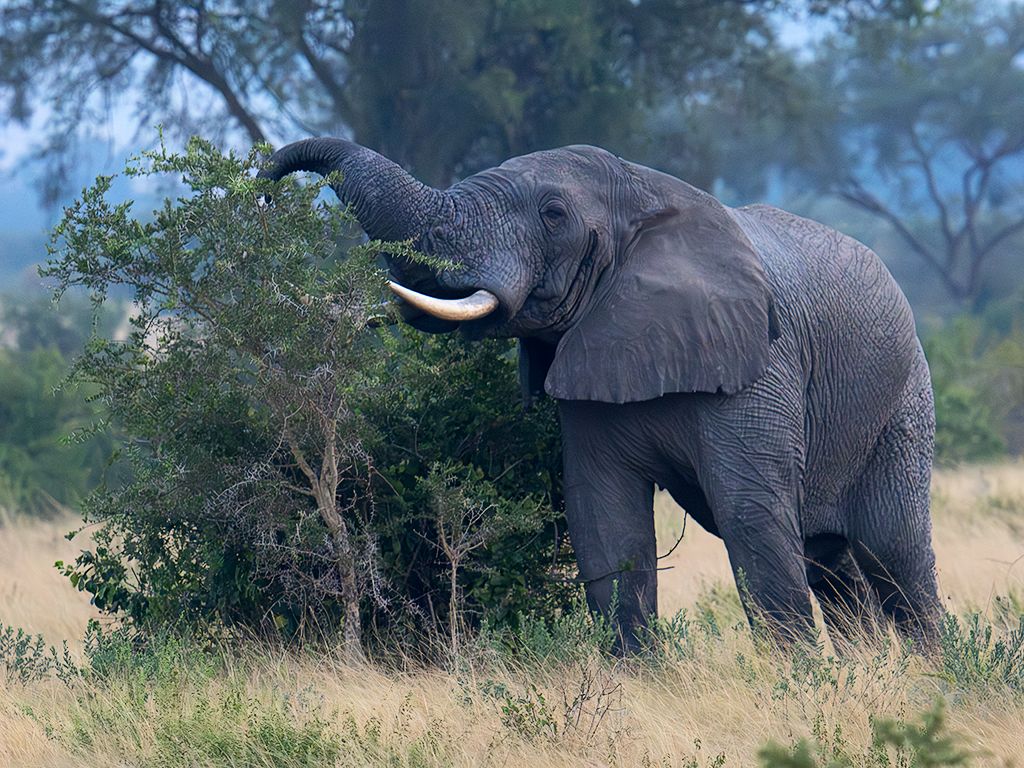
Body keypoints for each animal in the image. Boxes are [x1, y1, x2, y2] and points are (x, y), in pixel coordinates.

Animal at [260, 137, 944, 652]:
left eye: (553, 214)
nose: (264, 184)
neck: (646, 192)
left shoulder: (759, 362)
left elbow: (750, 515)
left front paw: (799, 688)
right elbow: (602, 520)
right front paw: (641, 682)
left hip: (904, 400)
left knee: (892, 551)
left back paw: (932, 678)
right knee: (832, 559)